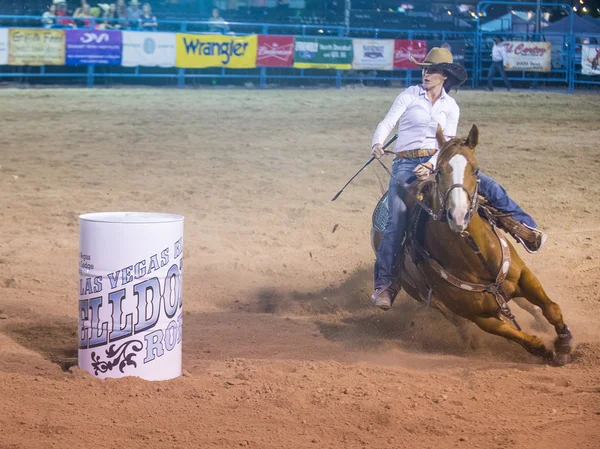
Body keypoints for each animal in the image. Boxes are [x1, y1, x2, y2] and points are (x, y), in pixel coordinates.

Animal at [370, 125, 572, 364]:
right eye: (440, 171)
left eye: (476, 170)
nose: (459, 215)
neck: (476, 256)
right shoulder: (480, 317)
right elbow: (523, 338)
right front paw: (547, 351)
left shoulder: (524, 276)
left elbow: (552, 308)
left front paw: (564, 342)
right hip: (426, 297)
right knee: (458, 322)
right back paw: (470, 343)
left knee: (527, 306)